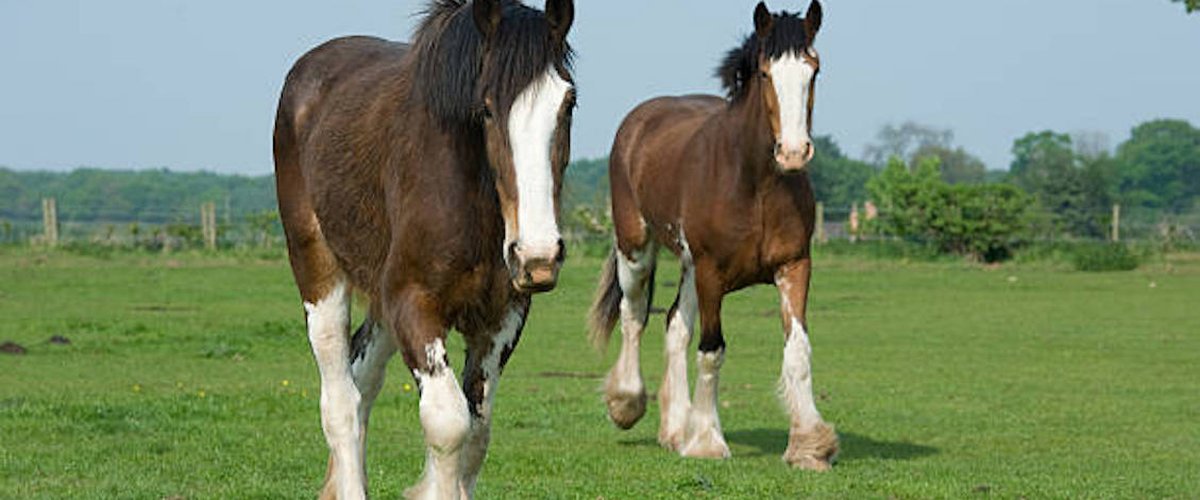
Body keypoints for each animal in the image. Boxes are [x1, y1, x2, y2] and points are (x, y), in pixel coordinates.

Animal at [274, 1, 573, 496]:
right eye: (486, 108)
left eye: (568, 103)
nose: (537, 257)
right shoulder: (413, 303)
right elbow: (448, 423)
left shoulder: (501, 317)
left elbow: (477, 431)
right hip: (318, 271)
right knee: (340, 401)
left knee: (363, 380)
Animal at [588, 0, 835, 467]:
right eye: (765, 73)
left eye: (813, 70)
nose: (793, 153)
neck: (755, 185)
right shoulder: (711, 272)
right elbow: (711, 350)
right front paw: (706, 441)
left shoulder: (794, 266)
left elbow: (799, 351)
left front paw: (811, 445)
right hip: (638, 250)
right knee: (634, 315)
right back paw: (628, 403)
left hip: (687, 266)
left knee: (673, 326)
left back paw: (674, 428)